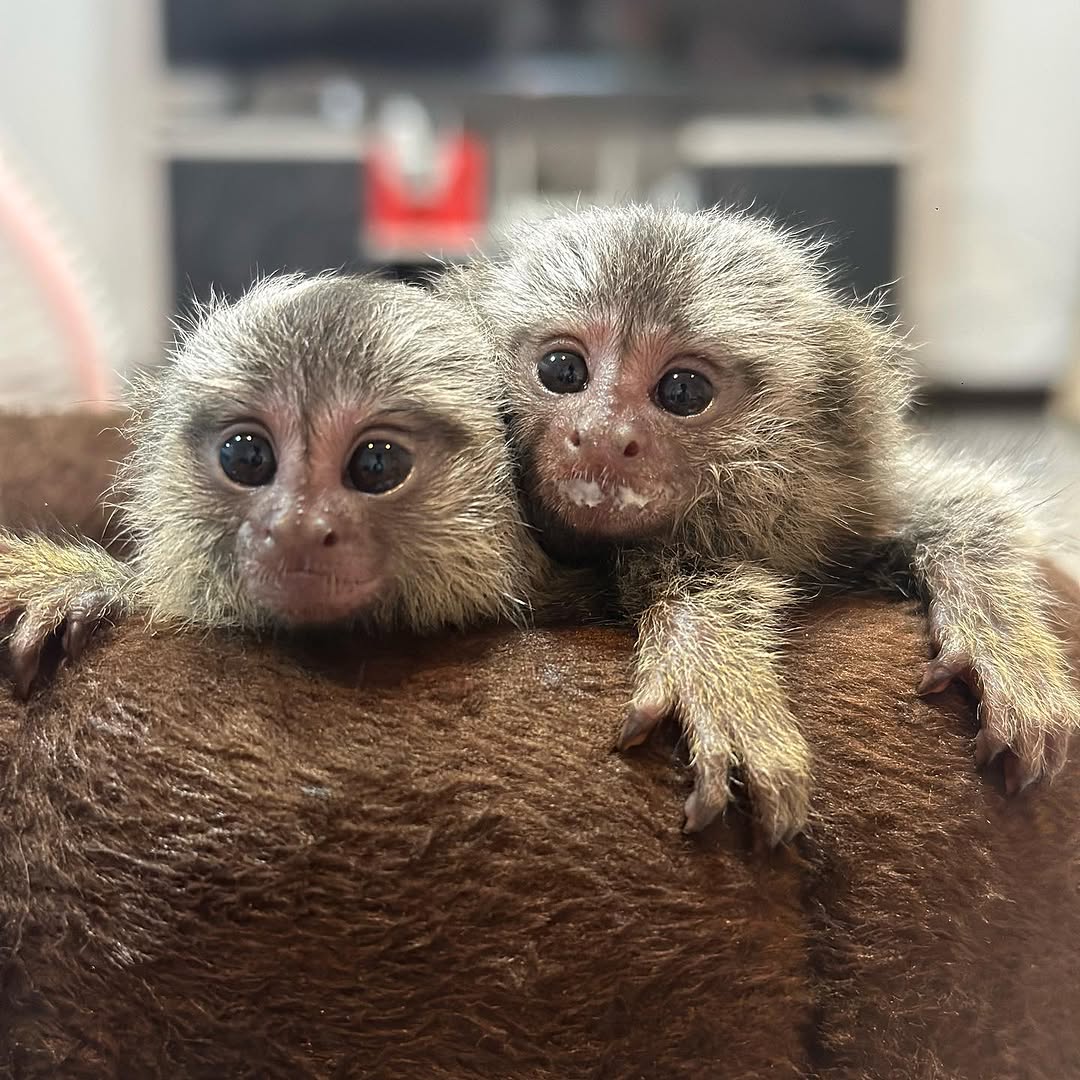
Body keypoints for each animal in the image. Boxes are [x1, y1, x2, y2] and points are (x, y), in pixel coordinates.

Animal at [438, 203, 1080, 844]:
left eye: (683, 390)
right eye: (563, 370)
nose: (599, 435)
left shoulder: (846, 504)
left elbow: (963, 507)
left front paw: (1001, 637)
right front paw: (713, 658)